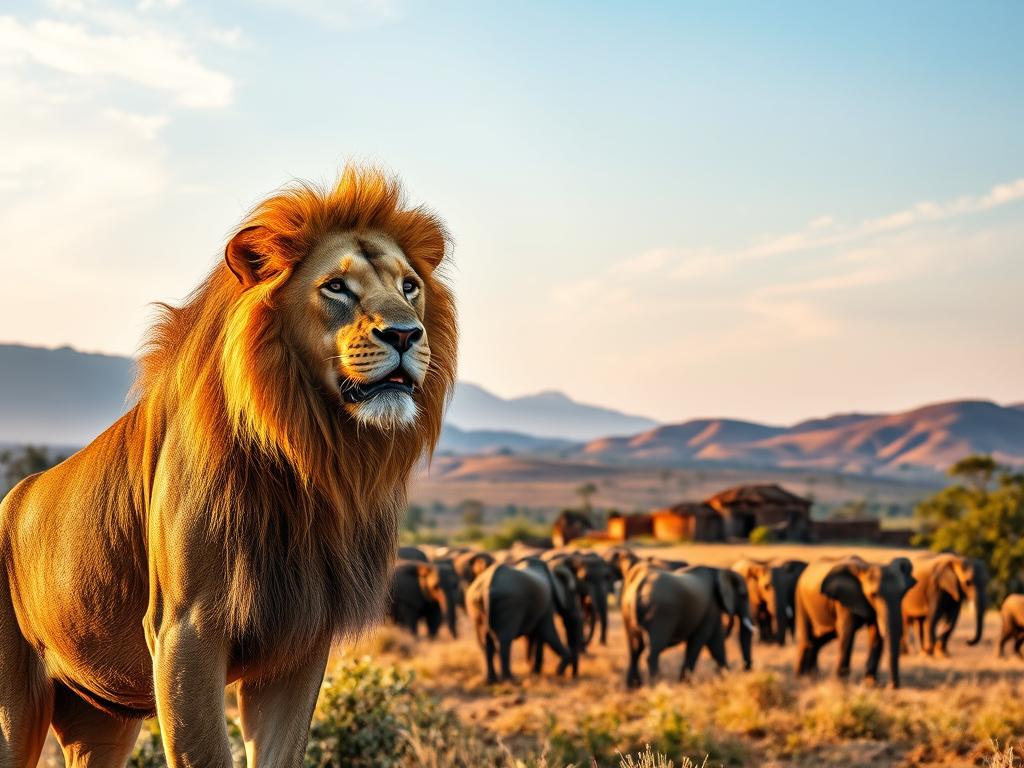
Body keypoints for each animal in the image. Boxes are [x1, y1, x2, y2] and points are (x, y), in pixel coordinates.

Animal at [0, 166, 457, 766]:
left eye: (409, 287)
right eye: (336, 287)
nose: (405, 334)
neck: (307, 454)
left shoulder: (300, 642)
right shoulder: (185, 629)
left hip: (99, 718)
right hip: (14, 710)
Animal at [794, 556, 915, 688]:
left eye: (903, 594)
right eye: (874, 595)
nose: (892, 686)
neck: (866, 568)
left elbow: (876, 634)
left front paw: (871, 684)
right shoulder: (845, 599)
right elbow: (847, 631)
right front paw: (841, 683)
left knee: (821, 637)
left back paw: (812, 675)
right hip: (800, 598)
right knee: (807, 638)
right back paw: (801, 677)